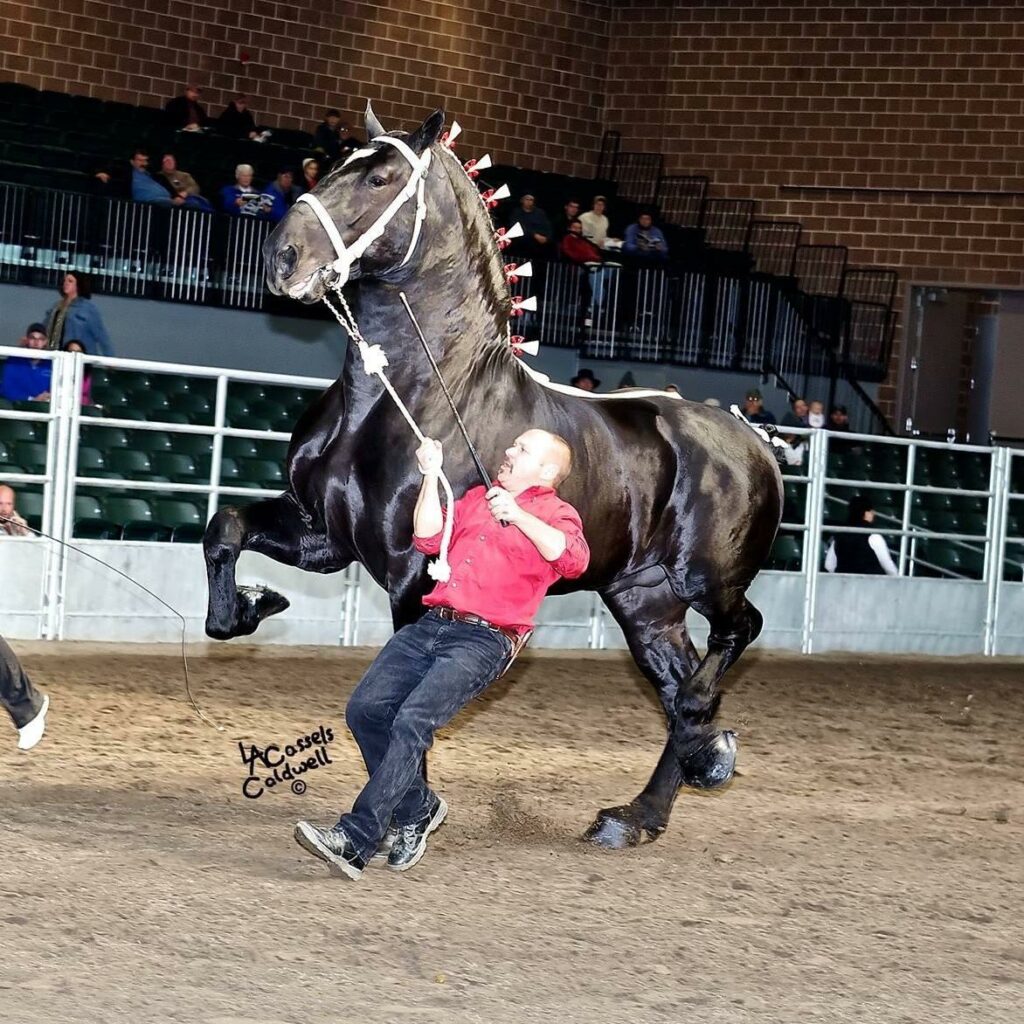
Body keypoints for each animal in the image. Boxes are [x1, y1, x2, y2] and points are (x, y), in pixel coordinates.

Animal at [205, 108, 782, 851]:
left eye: (380, 177)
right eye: (331, 163)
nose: (283, 258)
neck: (409, 396)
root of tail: (755, 440)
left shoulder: (414, 572)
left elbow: (407, 700)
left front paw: (402, 825)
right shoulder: (323, 535)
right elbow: (225, 529)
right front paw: (253, 604)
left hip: (705, 579)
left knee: (733, 639)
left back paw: (705, 749)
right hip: (644, 600)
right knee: (674, 685)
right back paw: (639, 814)